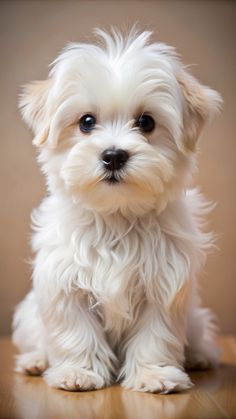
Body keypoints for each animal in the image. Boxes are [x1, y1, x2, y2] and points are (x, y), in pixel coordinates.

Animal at [12, 28, 222, 394]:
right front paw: (78, 372)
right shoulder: (65, 283)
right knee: (37, 340)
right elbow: (75, 332)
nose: (113, 155)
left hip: (196, 316)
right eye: (86, 122)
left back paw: (198, 356)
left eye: (146, 122)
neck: (117, 216)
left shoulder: (164, 284)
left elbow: (156, 335)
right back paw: (35, 361)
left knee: (197, 335)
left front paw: (155, 374)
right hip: (28, 315)